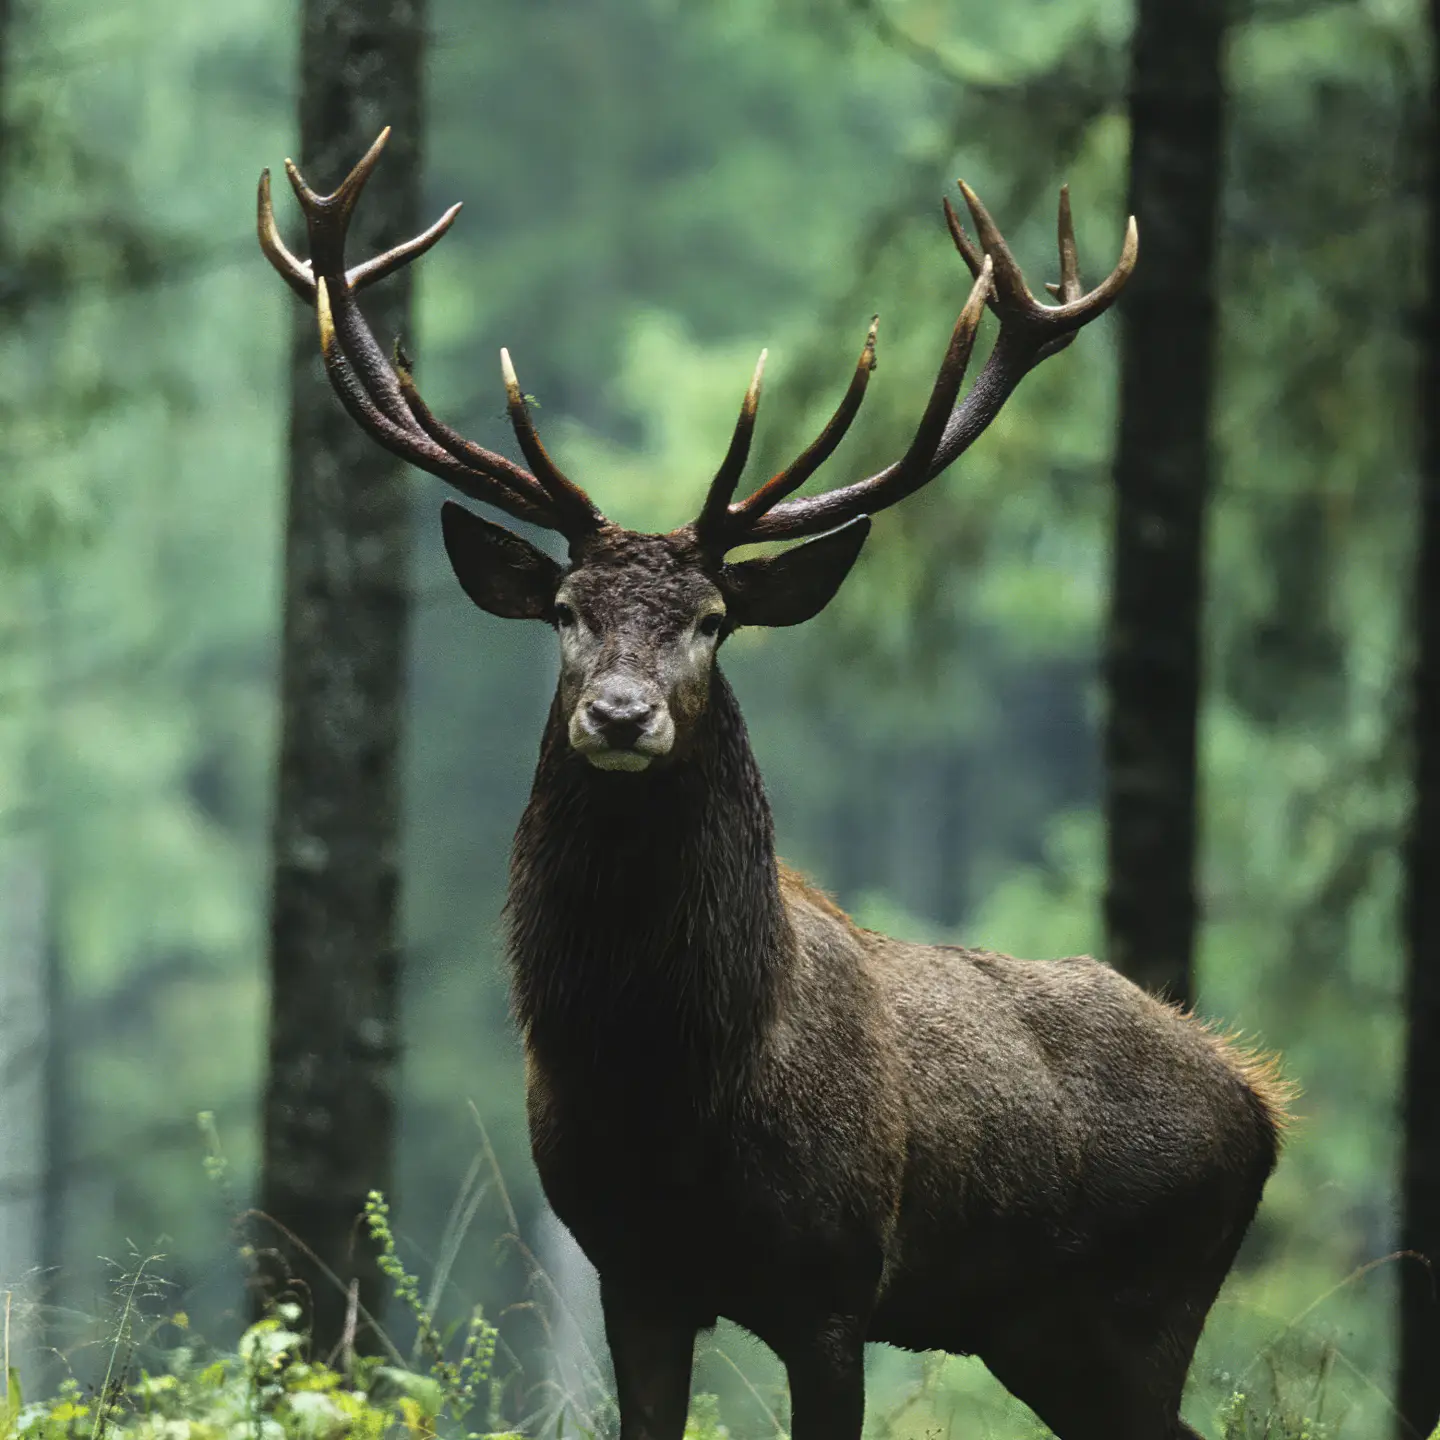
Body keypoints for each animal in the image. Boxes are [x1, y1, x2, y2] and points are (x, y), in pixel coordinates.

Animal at [259, 129, 1289, 1440]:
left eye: (711, 620)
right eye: (565, 611)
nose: (621, 714)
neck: (671, 1081)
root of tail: (1261, 1101)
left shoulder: (836, 1281)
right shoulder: (632, 1272)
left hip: (1144, 1309)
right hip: (1044, 1338)